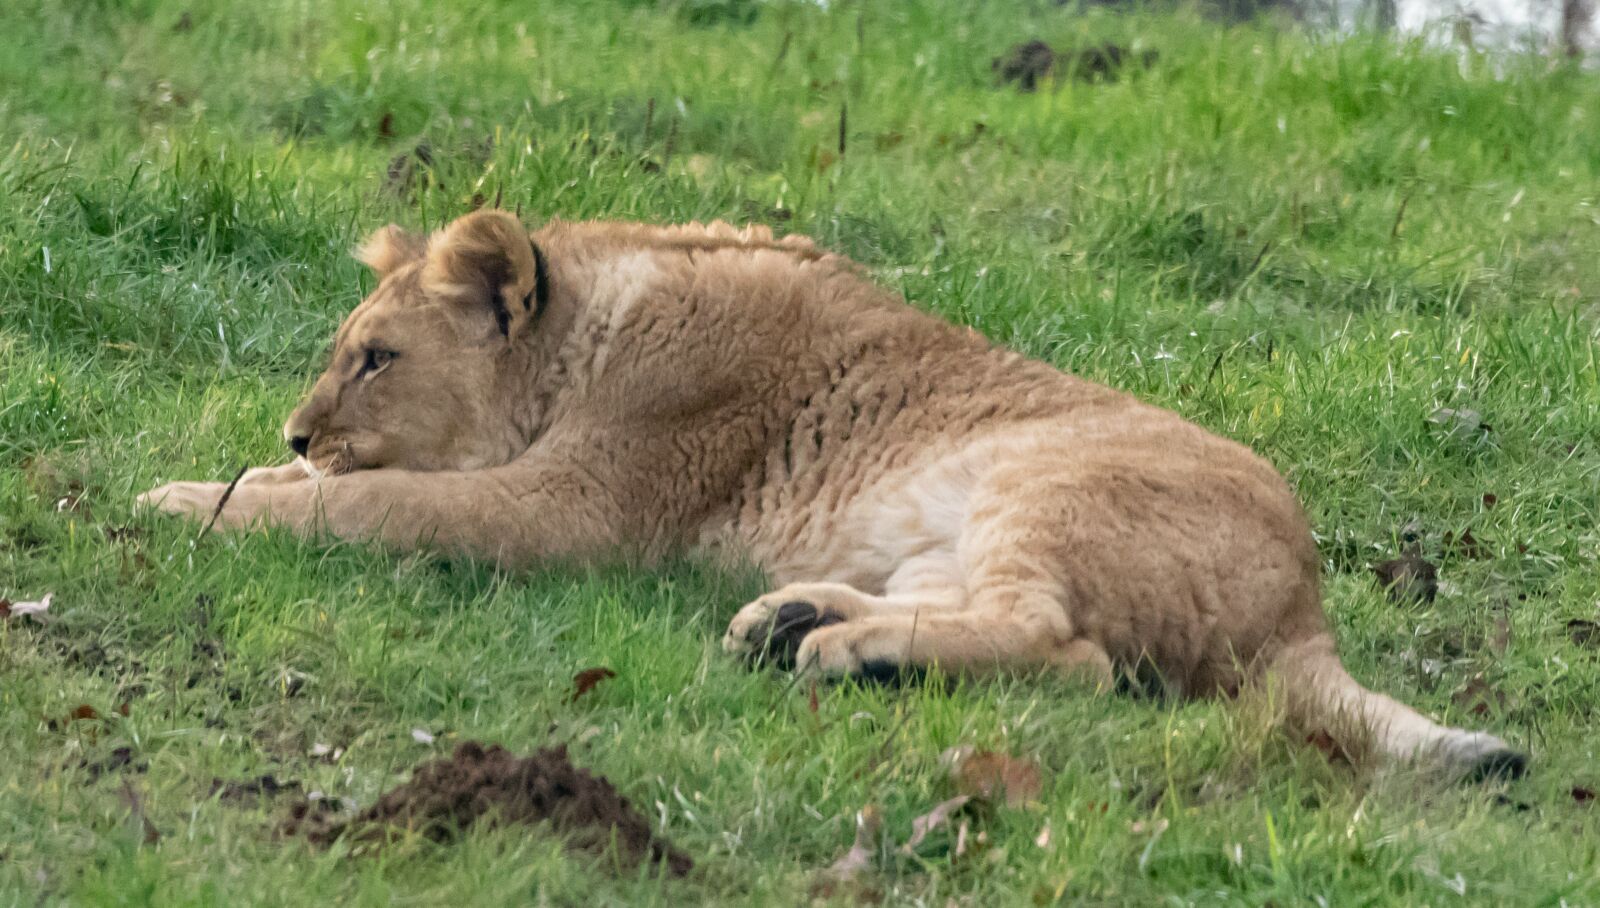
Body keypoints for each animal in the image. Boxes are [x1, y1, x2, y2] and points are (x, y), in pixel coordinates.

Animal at [140, 209, 1525, 779]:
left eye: (375, 358)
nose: (298, 426)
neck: (596, 320)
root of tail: (1306, 606)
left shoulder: (571, 509)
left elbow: (383, 506)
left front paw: (198, 501)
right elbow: (355, 491)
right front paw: (225, 477)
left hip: (1046, 486)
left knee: (1069, 654)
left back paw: (843, 654)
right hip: (939, 539)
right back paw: (798, 621)